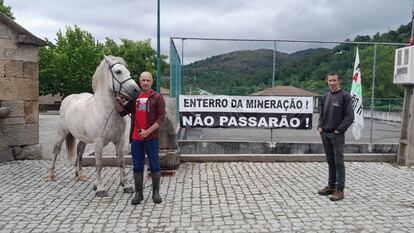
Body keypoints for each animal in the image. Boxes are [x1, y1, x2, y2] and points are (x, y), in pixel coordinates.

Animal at [47, 55, 140, 197]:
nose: (136, 91)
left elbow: (121, 161)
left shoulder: (120, 141)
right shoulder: (98, 143)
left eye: (128, 72)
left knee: (79, 151)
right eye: (118, 71)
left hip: (83, 138)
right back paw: (51, 174)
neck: (107, 111)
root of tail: (68, 98)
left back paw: (80, 174)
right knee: (56, 150)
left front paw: (126, 185)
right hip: (62, 133)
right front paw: (100, 188)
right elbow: (99, 163)